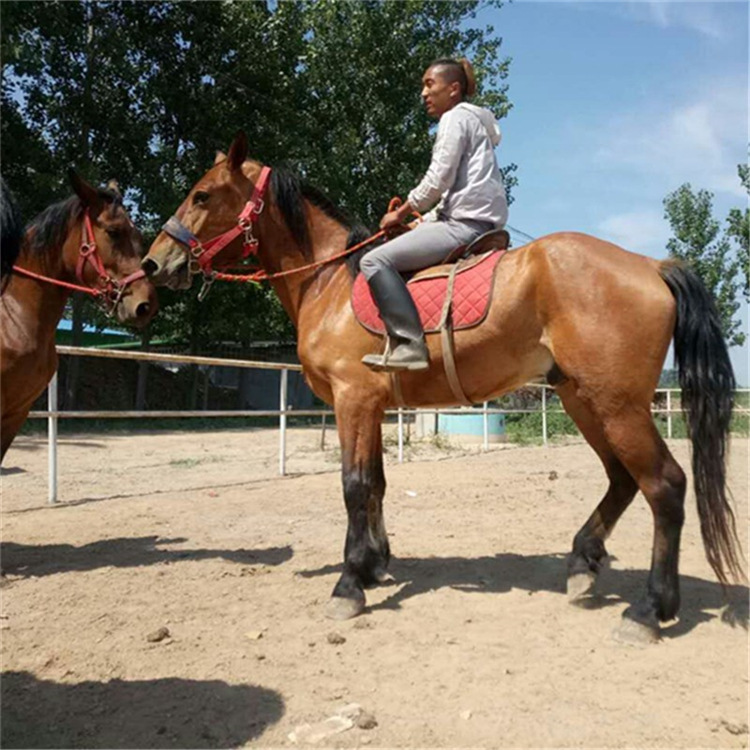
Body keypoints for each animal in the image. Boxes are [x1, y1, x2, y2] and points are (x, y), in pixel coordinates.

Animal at [142, 132, 743, 643]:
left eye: (201, 195)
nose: (153, 263)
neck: (329, 281)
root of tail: (652, 264)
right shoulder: (374, 406)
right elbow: (377, 484)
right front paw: (375, 564)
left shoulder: (353, 400)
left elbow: (354, 486)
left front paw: (349, 584)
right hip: (583, 398)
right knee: (622, 478)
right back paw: (582, 563)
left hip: (617, 405)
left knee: (664, 486)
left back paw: (650, 609)